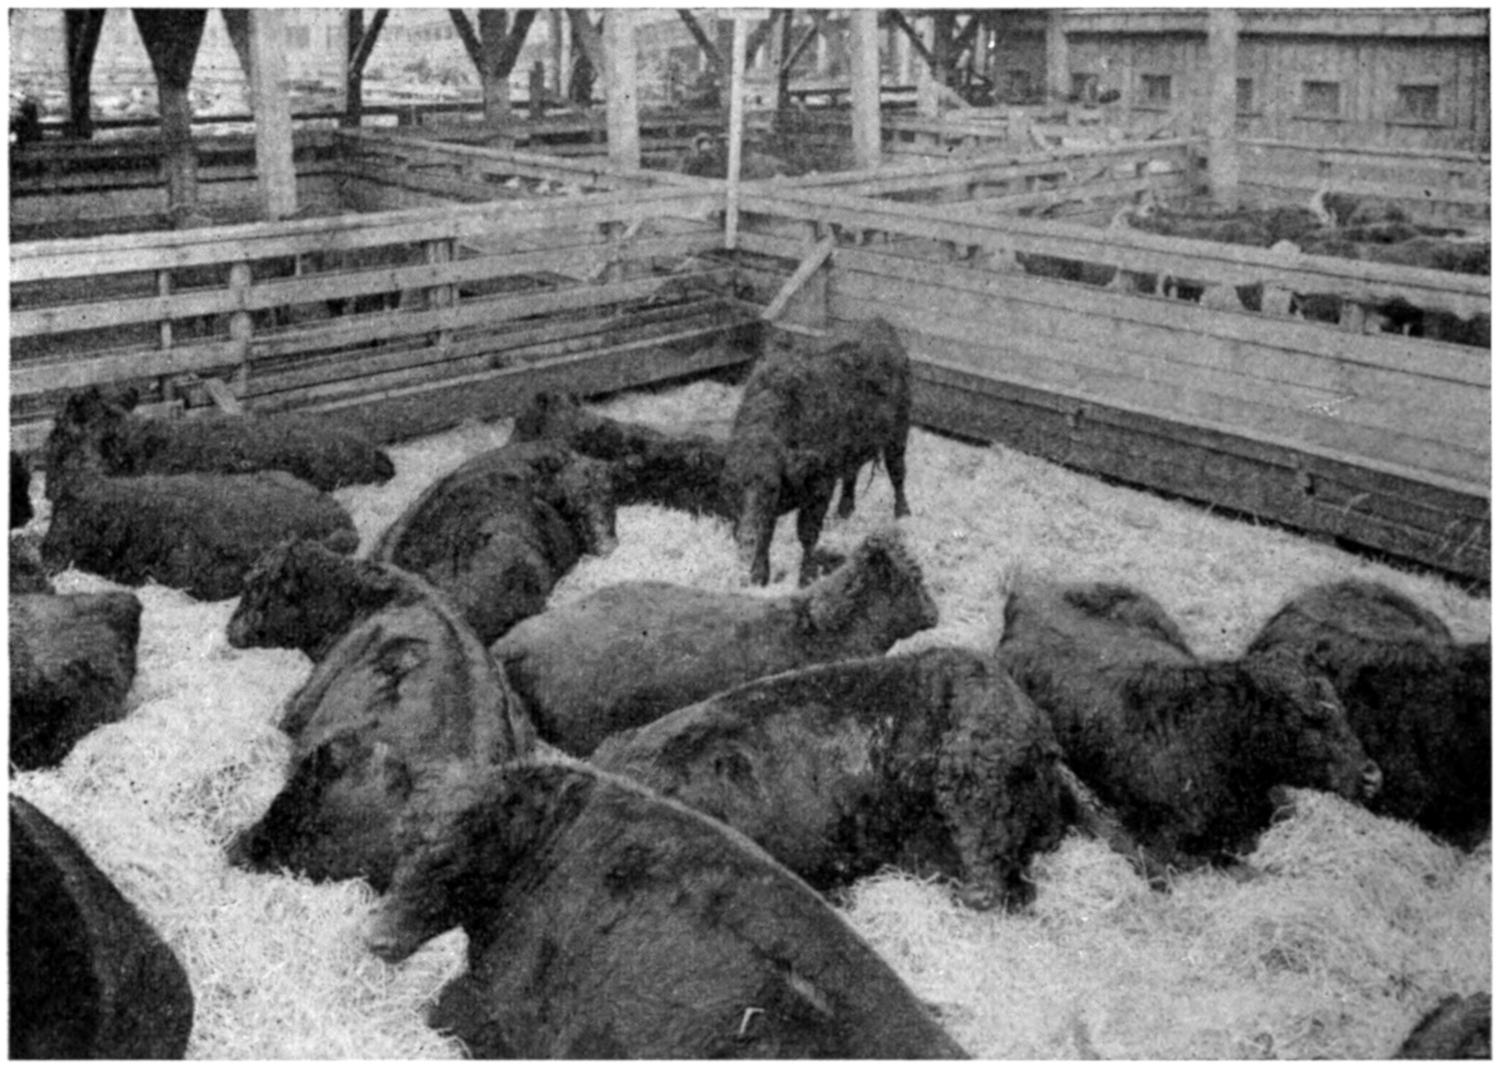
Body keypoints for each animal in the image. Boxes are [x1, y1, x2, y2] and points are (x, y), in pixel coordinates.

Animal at [724, 318, 911, 586]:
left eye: (771, 487)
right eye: (732, 487)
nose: (746, 536)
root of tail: (878, 323)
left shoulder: (819, 489)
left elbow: (807, 534)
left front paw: (807, 576)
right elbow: (766, 535)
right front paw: (759, 575)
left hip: (898, 435)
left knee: (897, 474)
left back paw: (903, 512)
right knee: (851, 474)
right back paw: (845, 509)